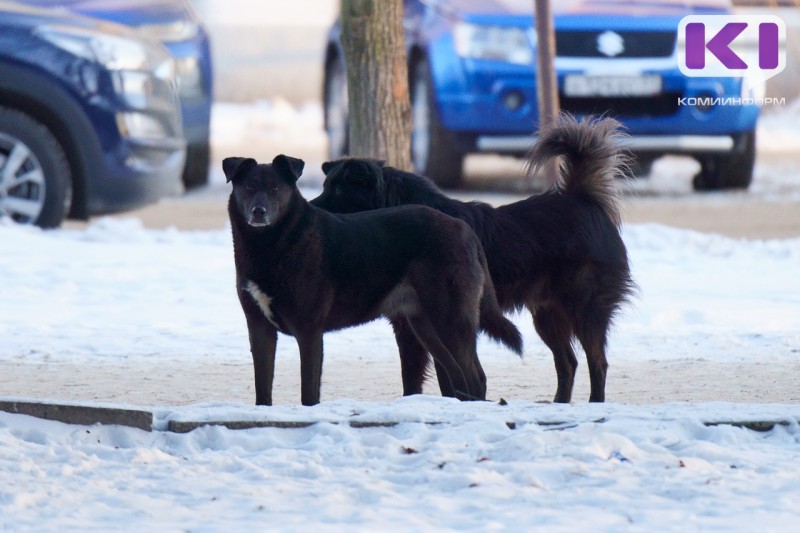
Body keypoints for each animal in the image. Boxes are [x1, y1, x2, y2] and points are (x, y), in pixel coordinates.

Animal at [225, 152, 524, 406]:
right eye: (248, 188)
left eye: (276, 189)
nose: (259, 211)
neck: (273, 245)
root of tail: (465, 230)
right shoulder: (259, 327)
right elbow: (262, 389)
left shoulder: (308, 329)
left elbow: (308, 393)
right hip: (424, 324)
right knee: (457, 376)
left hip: (451, 318)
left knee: (475, 377)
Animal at [310, 115, 636, 400]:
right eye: (326, 186)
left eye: (338, 191)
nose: (310, 209)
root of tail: (581, 198)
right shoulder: (411, 324)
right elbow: (421, 378)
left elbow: (434, 378)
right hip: (547, 314)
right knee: (567, 362)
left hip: (584, 308)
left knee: (597, 362)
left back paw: (594, 402)